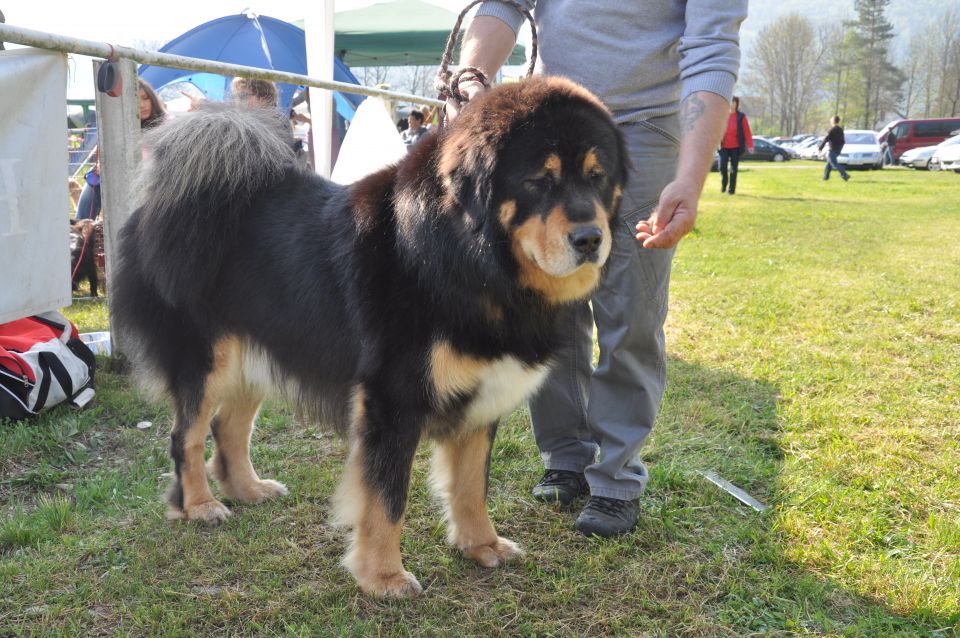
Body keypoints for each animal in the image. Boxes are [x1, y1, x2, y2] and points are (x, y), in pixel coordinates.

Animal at [112, 76, 632, 600]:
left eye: (597, 176)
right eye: (538, 181)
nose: (591, 239)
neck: (464, 259)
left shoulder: (482, 395)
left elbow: (471, 485)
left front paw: (481, 544)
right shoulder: (392, 400)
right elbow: (387, 497)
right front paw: (383, 576)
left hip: (260, 348)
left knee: (228, 428)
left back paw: (248, 490)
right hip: (207, 359)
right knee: (187, 435)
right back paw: (199, 505)